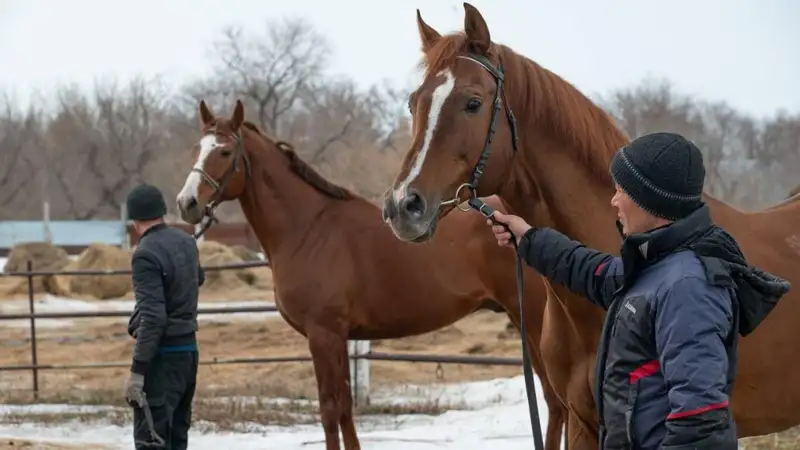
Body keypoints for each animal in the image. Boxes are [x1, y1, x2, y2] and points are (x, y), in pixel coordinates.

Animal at [176, 100, 564, 448]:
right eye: (196, 149)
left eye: (225, 152)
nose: (186, 203)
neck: (309, 228)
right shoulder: (339, 337)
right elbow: (346, 410)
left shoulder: (324, 334)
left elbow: (330, 410)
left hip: (532, 319)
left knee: (556, 399)